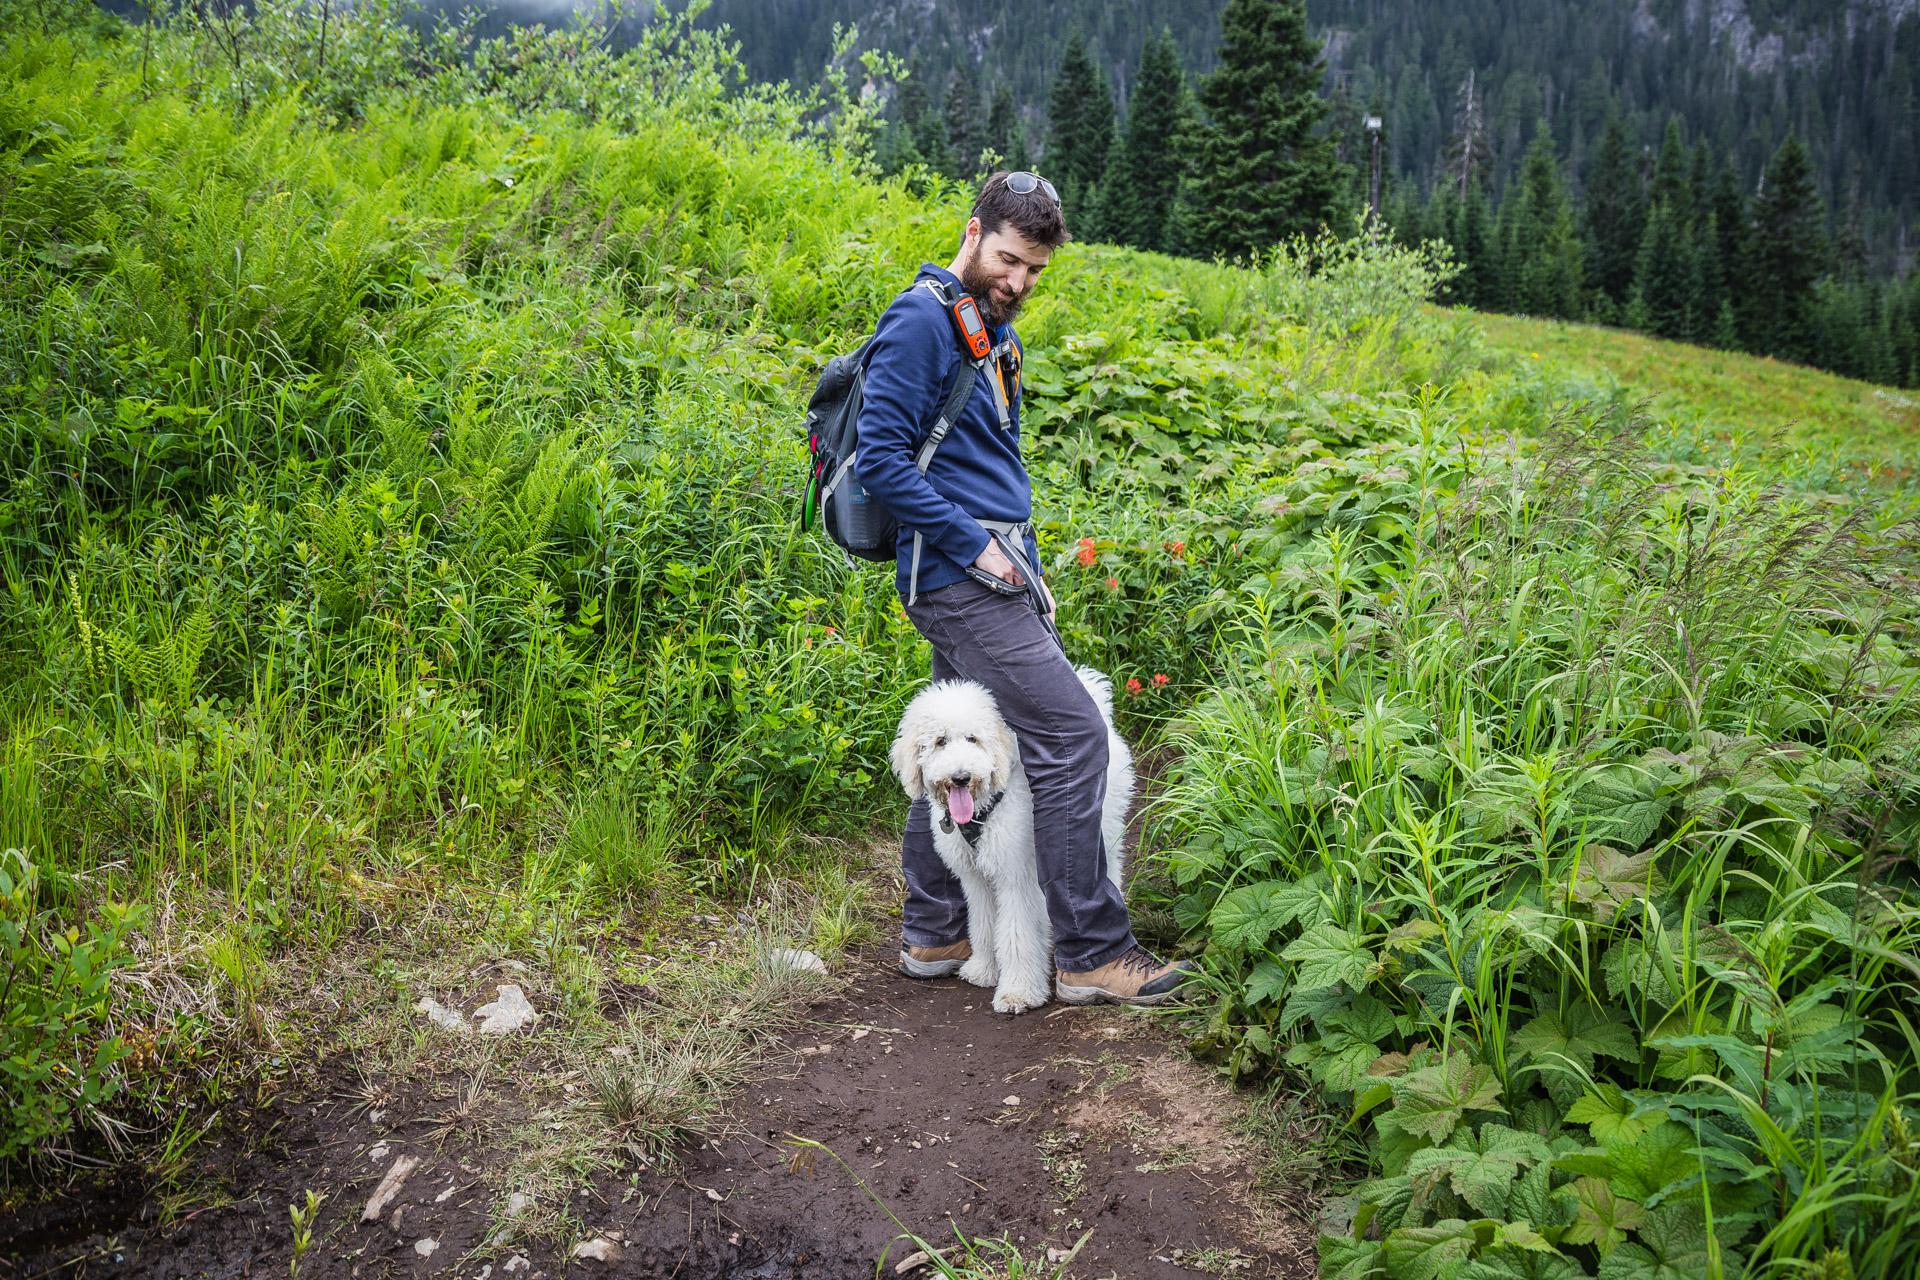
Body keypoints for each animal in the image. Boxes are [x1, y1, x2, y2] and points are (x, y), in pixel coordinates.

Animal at [890, 667, 1128, 1013]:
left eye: (973, 738)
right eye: (940, 741)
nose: (961, 777)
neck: (982, 809)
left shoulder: (1017, 875)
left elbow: (1017, 934)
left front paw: (1018, 991)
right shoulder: (975, 878)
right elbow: (984, 924)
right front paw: (985, 969)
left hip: (1106, 827)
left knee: (1109, 870)